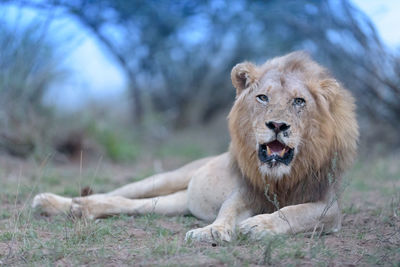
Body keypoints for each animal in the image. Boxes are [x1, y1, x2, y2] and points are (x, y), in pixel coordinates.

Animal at [31, 51, 358, 243]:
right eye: (263, 97)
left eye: (299, 101)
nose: (277, 125)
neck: (280, 176)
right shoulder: (244, 190)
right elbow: (228, 208)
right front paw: (212, 230)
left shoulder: (329, 205)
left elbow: (295, 213)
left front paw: (260, 226)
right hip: (166, 177)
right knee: (113, 193)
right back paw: (51, 202)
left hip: (174, 203)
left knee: (124, 204)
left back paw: (79, 210)